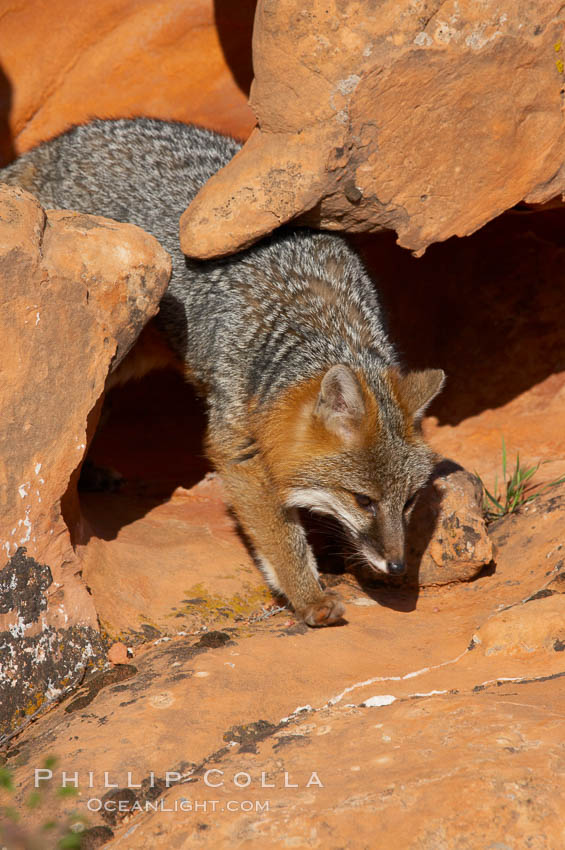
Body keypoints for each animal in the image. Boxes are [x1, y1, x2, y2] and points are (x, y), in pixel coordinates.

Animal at [3, 117, 446, 624]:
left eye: (409, 502)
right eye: (364, 501)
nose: (396, 566)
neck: (319, 322)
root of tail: (60, 144)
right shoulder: (237, 443)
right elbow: (280, 535)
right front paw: (308, 596)